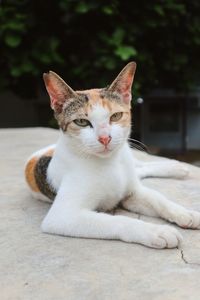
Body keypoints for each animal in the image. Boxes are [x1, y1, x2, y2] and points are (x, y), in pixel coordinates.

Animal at [24, 61, 200, 248]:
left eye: (116, 116)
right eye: (81, 122)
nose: (105, 138)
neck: (110, 163)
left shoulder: (132, 193)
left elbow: (158, 198)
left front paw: (185, 213)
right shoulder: (62, 216)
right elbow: (118, 221)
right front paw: (156, 231)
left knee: (140, 167)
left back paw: (175, 167)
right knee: (140, 171)